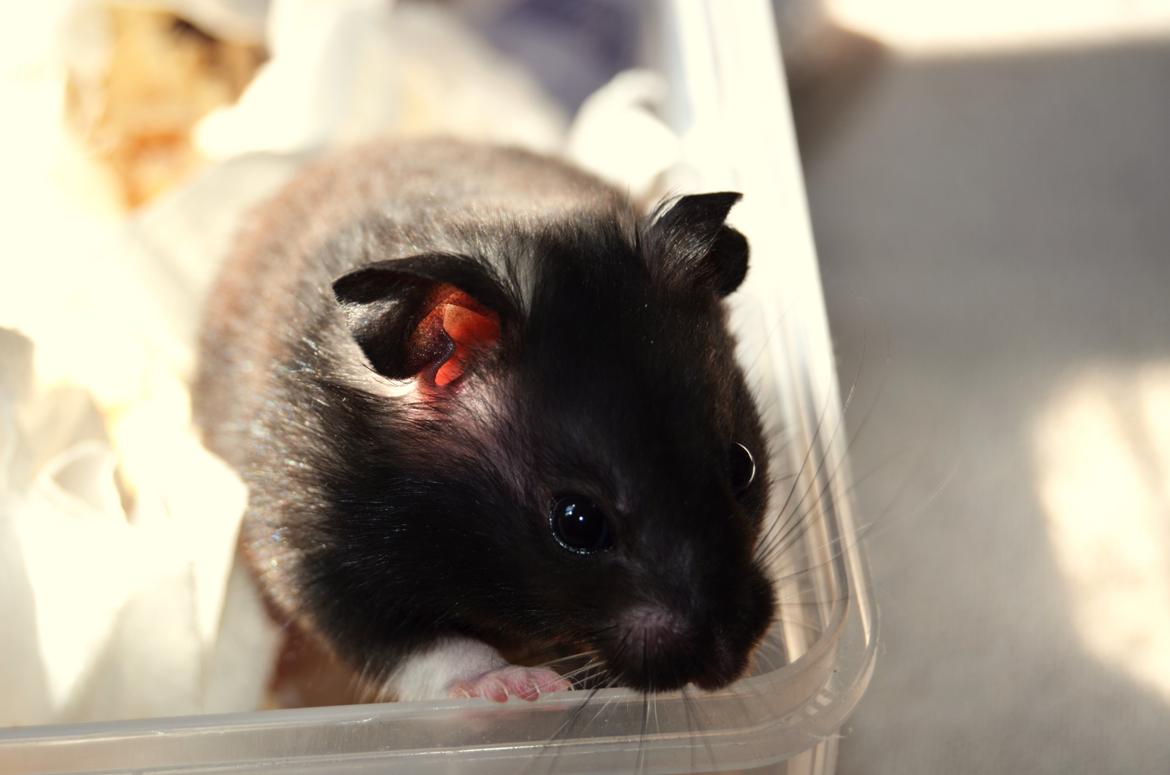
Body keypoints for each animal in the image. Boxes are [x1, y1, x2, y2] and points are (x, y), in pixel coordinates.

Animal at [194, 139, 775, 703]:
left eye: (743, 466)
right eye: (577, 522)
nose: (727, 670)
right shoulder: (314, 553)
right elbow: (427, 648)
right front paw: (527, 688)